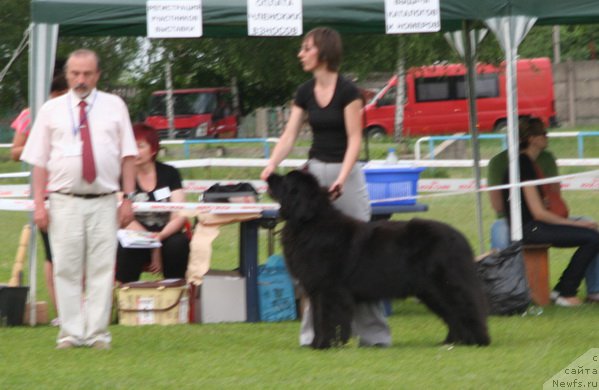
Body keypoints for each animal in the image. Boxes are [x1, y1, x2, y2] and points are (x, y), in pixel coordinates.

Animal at [268, 169, 492, 348]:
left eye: (285, 181)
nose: (269, 175)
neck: (309, 223)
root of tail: (459, 237)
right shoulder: (317, 292)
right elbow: (318, 319)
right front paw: (317, 343)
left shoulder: (329, 290)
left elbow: (327, 319)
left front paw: (325, 345)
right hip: (431, 291)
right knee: (452, 313)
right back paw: (453, 341)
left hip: (445, 284)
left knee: (465, 307)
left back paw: (476, 340)